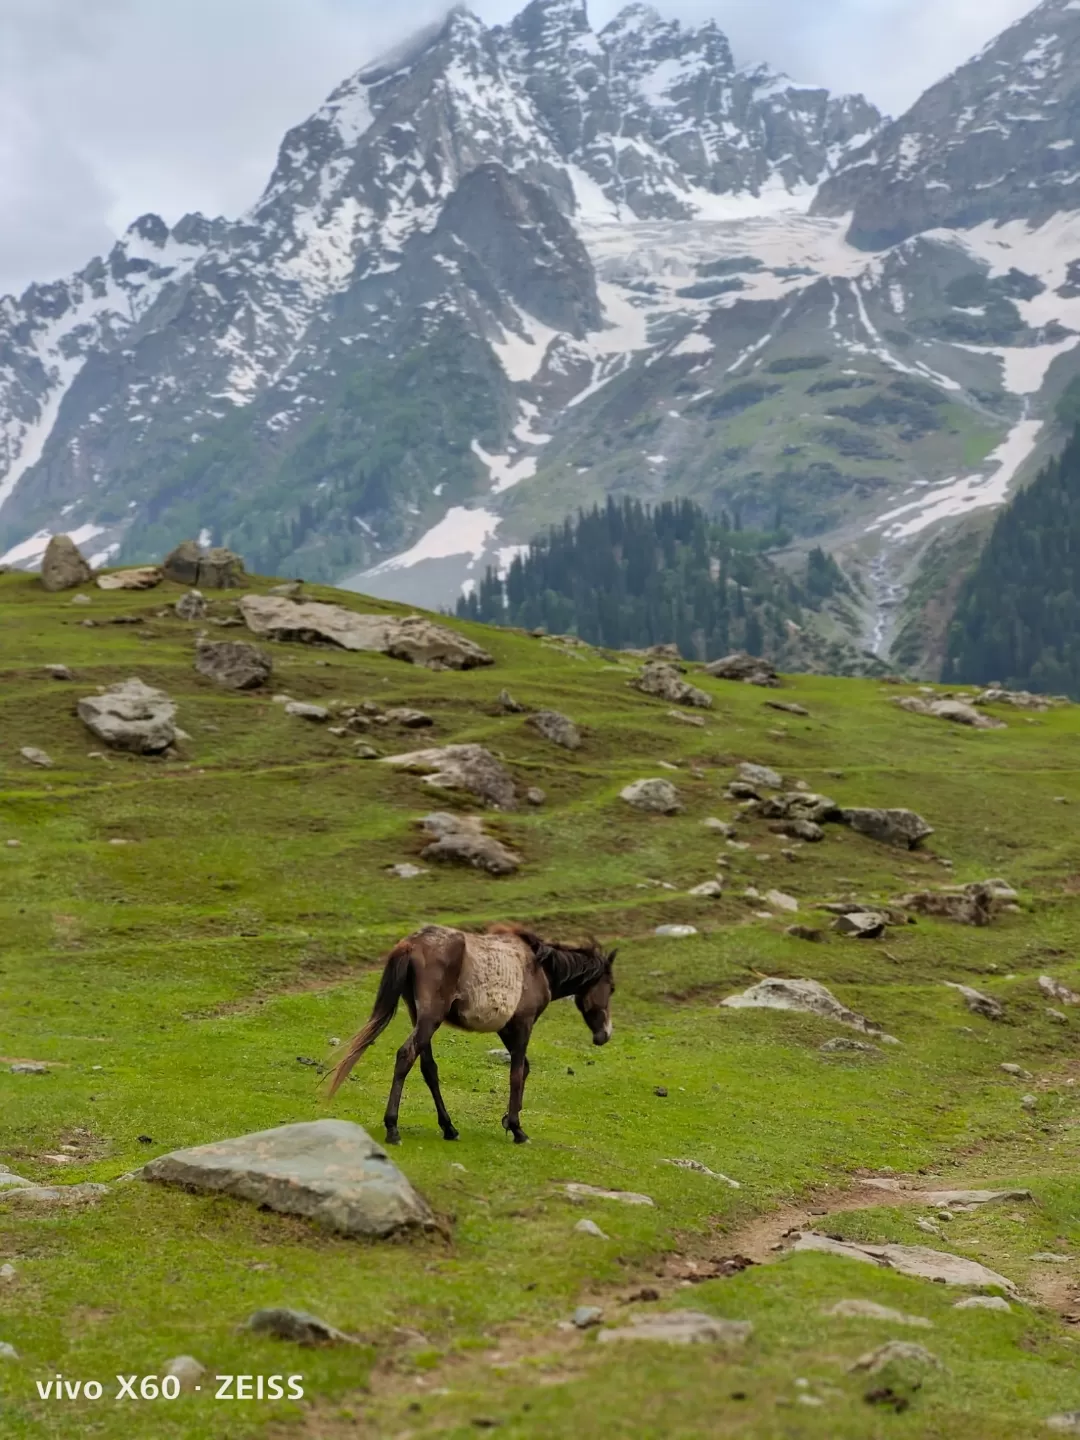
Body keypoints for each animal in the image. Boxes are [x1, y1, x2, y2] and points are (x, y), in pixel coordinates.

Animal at [325, 921, 616, 1146]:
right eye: (611, 988)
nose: (604, 1035)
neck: (538, 966)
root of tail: (411, 943)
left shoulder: (507, 1028)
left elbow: (524, 1069)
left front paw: (508, 1120)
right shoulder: (523, 1024)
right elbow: (517, 1073)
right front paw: (517, 1128)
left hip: (418, 1016)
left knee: (428, 1067)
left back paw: (449, 1128)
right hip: (430, 1018)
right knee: (406, 1056)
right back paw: (393, 1128)